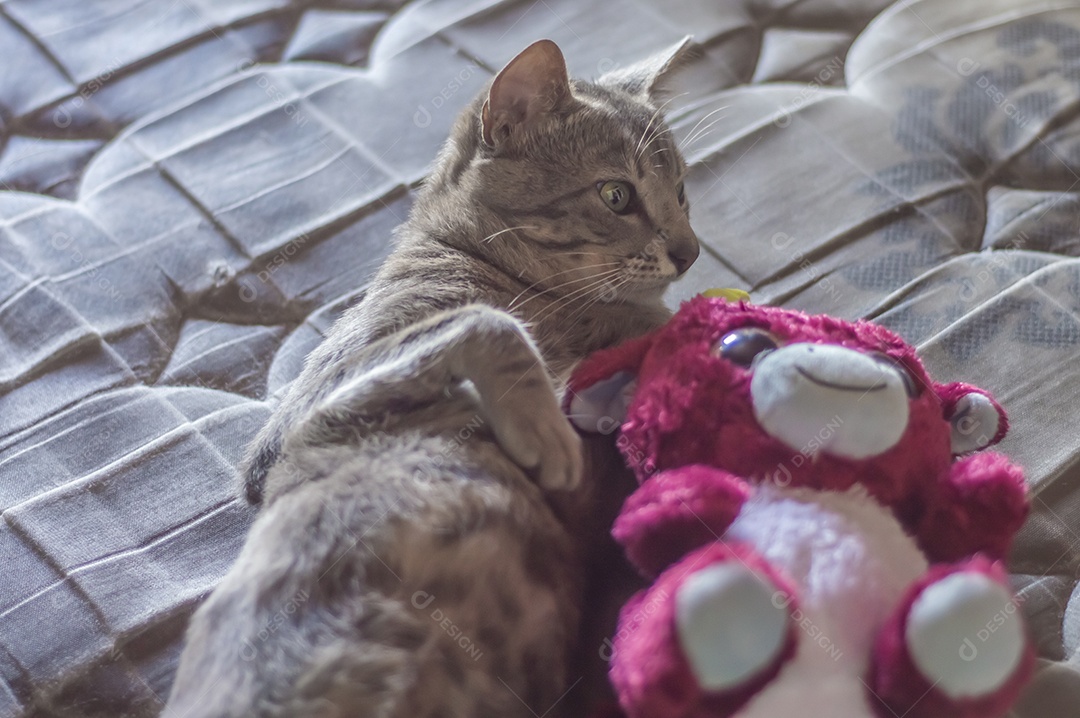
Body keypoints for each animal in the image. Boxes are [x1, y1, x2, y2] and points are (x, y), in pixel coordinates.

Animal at [163, 37, 695, 716]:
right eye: (617, 195)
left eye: (682, 191)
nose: (690, 252)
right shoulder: (293, 432)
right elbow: (489, 320)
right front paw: (551, 426)